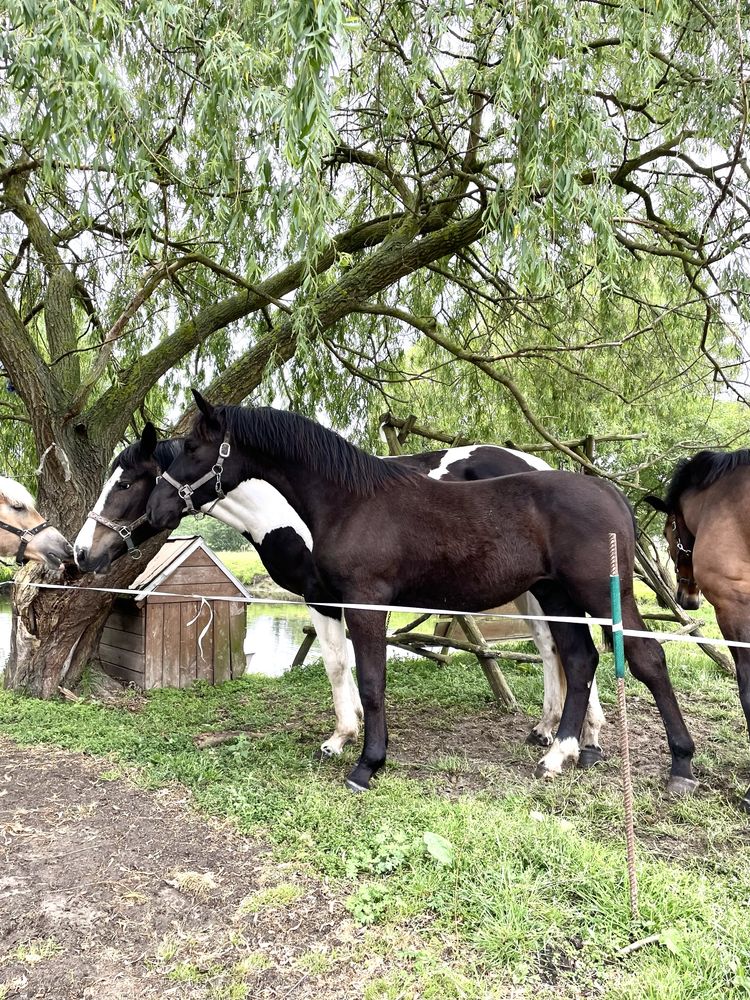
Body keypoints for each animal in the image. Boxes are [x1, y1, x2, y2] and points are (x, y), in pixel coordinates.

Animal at [145, 390, 700, 796]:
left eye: (192, 448)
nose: (156, 510)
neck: (351, 501)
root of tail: (610, 493)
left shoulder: (366, 606)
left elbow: (372, 682)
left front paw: (367, 765)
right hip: (557, 596)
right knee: (579, 660)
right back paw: (558, 754)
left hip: (600, 594)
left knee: (646, 658)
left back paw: (680, 766)